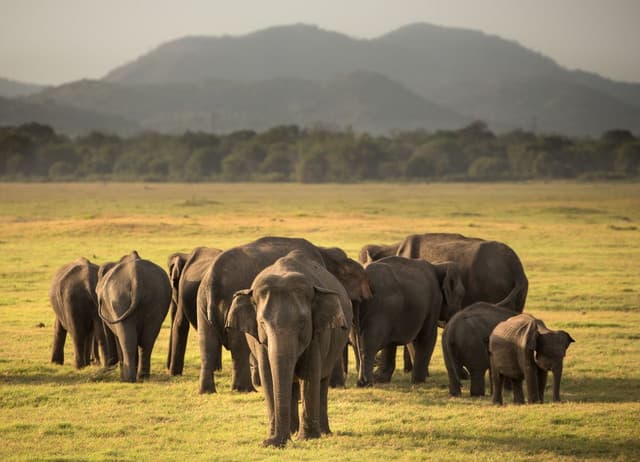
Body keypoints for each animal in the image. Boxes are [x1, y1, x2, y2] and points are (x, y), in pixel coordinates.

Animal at [97, 251, 171, 382]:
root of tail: (136, 276)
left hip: (118, 298)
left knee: (126, 340)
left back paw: (128, 379)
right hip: (156, 297)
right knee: (147, 340)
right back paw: (142, 377)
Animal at [196, 236, 371, 394]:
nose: (361, 382)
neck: (324, 252)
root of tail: (213, 278)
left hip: (201, 301)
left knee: (207, 343)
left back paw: (207, 391)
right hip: (228, 298)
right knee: (238, 347)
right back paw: (246, 390)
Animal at [226, 249, 352, 447]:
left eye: (302, 323)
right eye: (262, 323)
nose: (273, 443)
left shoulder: (317, 335)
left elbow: (309, 373)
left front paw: (306, 438)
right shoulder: (260, 341)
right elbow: (268, 375)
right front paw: (272, 439)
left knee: (322, 380)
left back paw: (322, 432)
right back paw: (292, 430)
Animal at [355, 256, 465, 387]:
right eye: (461, 295)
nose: (464, 378)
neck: (437, 265)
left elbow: (403, 341)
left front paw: (381, 379)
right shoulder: (434, 300)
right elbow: (427, 336)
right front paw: (418, 382)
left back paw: (363, 382)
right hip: (379, 310)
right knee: (370, 342)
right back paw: (366, 383)